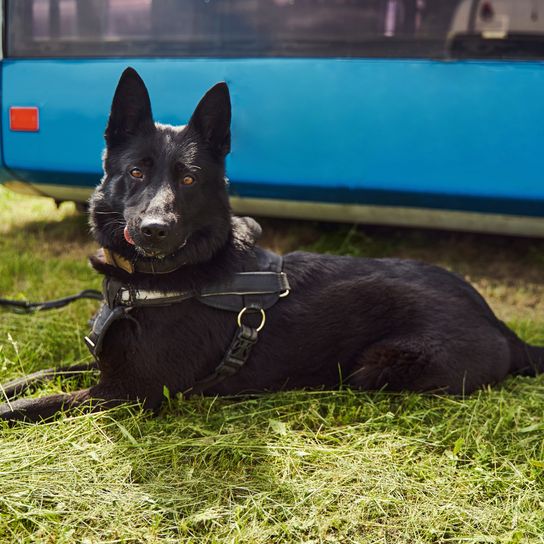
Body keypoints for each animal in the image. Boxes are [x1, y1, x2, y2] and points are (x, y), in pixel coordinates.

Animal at [0, 69, 540, 424]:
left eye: (189, 179)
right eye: (135, 172)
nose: (155, 229)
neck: (157, 282)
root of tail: (500, 325)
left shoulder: (127, 392)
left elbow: (39, 403)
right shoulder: (102, 365)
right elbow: (37, 375)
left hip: (376, 367)